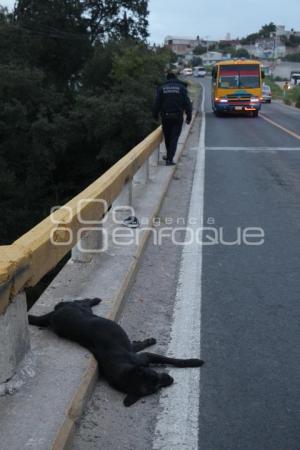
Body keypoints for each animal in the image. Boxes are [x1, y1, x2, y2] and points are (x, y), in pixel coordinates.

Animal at [28, 298, 204, 406]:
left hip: (80, 308)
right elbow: (167, 358)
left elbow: (173, 360)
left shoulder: (145, 357)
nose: (171, 379)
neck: (125, 369)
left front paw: (194, 361)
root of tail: (53, 315)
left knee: (82, 301)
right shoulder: (143, 357)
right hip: (80, 309)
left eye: (155, 375)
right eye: (155, 388)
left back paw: (95, 299)